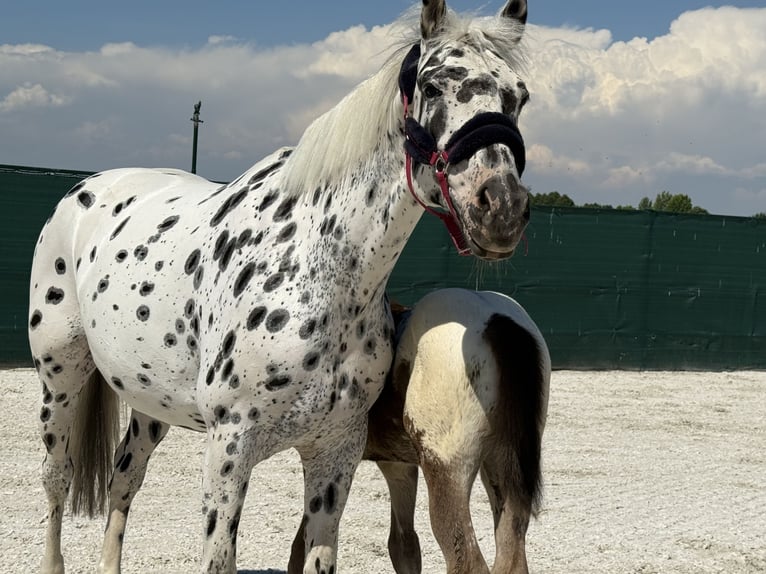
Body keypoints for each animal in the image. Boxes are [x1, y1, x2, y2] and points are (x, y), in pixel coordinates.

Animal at [290, 289, 550, 574]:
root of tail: (497, 321)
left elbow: (301, 546)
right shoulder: (397, 465)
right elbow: (404, 545)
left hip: (446, 469)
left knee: (467, 561)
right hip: (501, 468)